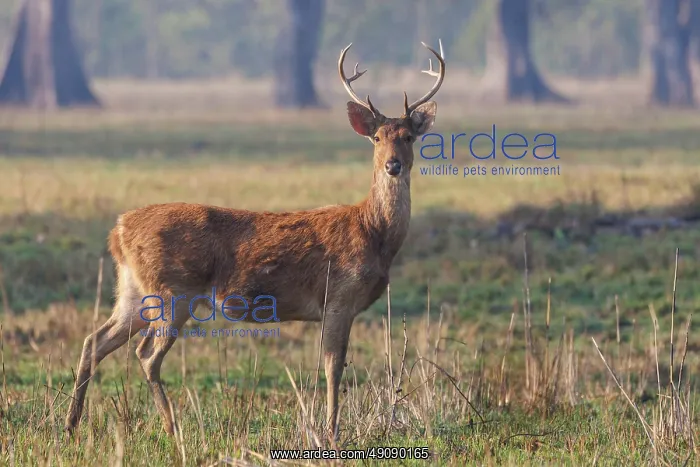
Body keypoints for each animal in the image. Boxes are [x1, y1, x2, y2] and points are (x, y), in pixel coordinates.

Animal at [64, 40, 446, 441]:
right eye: (377, 137)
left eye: (408, 137)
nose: (393, 165)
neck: (374, 234)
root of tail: (119, 231)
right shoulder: (338, 296)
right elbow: (333, 367)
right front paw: (331, 432)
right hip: (173, 290)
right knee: (146, 354)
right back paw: (173, 428)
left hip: (134, 291)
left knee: (95, 341)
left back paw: (71, 424)